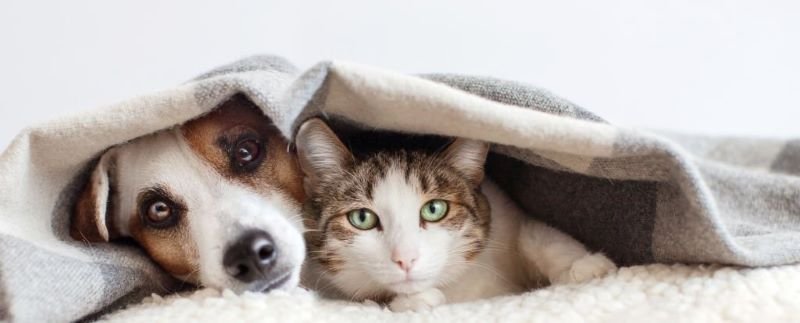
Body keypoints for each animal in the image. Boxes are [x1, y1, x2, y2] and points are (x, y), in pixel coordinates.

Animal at [296, 118, 620, 312]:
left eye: (434, 209)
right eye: (361, 218)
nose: (405, 259)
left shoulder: (505, 213)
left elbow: (536, 234)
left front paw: (585, 266)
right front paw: (415, 300)